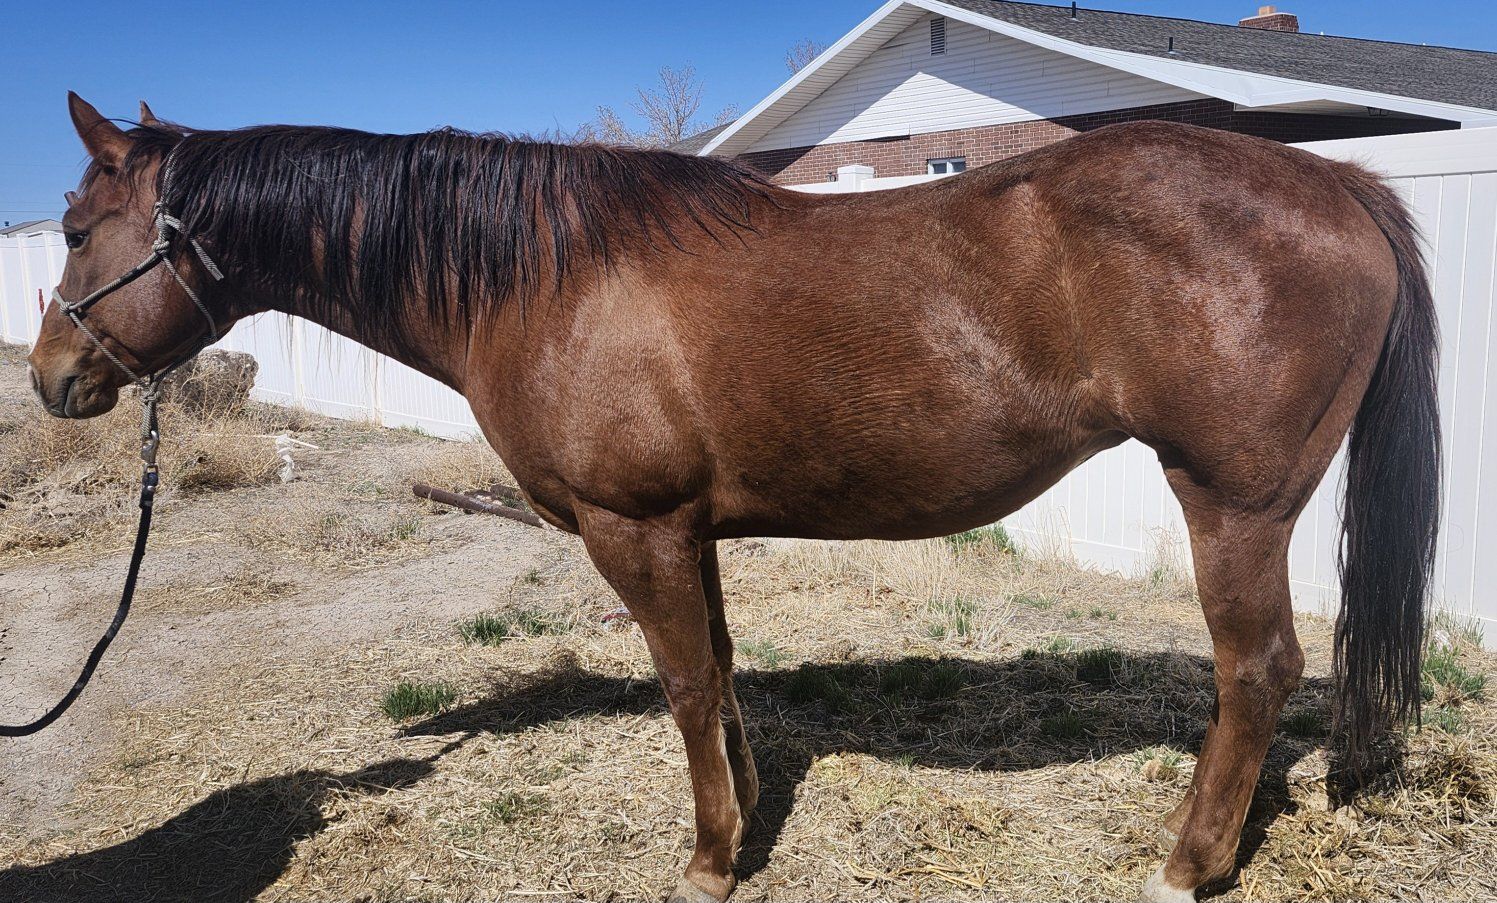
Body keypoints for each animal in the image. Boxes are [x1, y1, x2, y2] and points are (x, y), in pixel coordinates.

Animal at [27, 92, 1440, 903]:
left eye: (80, 229)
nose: (50, 379)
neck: (545, 277)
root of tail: (1341, 184)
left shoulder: (633, 527)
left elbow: (686, 685)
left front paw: (708, 861)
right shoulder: (689, 530)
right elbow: (719, 668)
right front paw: (748, 818)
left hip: (1233, 505)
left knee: (1257, 670)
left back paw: (1187, 863)